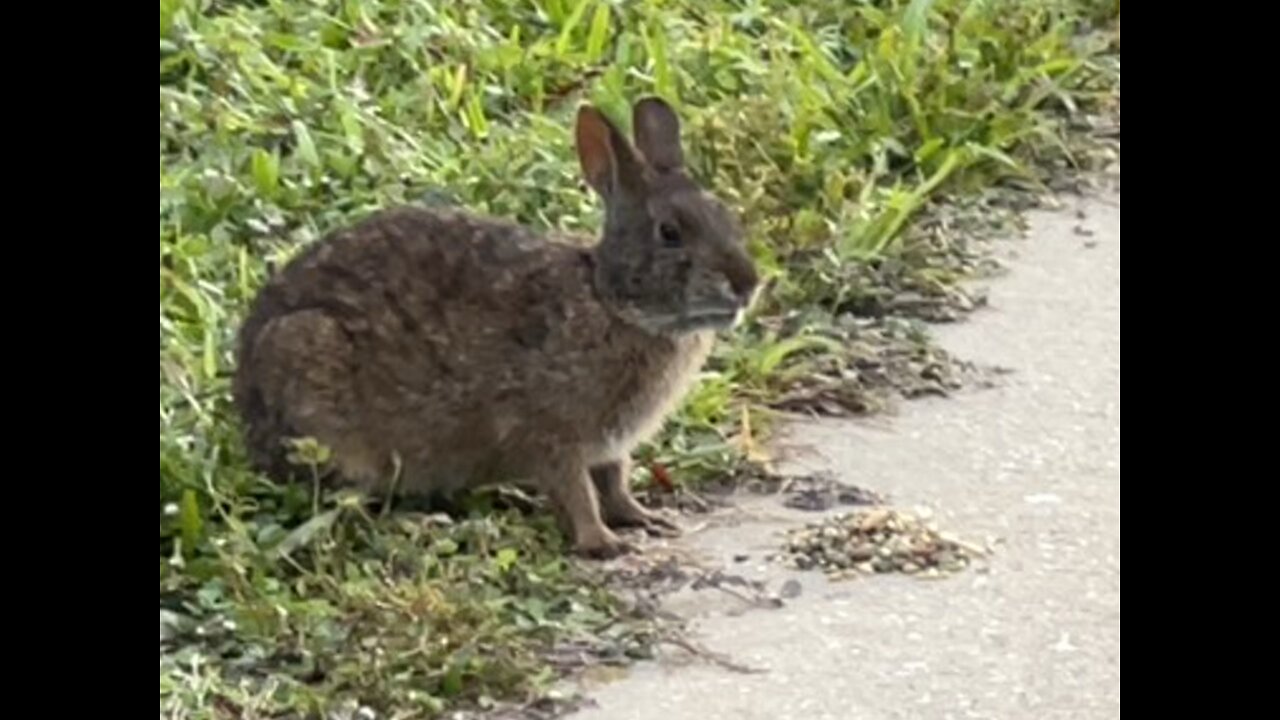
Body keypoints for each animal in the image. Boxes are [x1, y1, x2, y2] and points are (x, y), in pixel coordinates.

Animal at [232, 97, 759, 558]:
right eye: (670, 233)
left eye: (724, 216)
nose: (748, 284)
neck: (613, 304)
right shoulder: (551, 432)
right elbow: (577, 492)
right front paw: (601, 542)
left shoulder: (609, 446)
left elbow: (614, 482)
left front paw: (643, 518)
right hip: (315, 379)